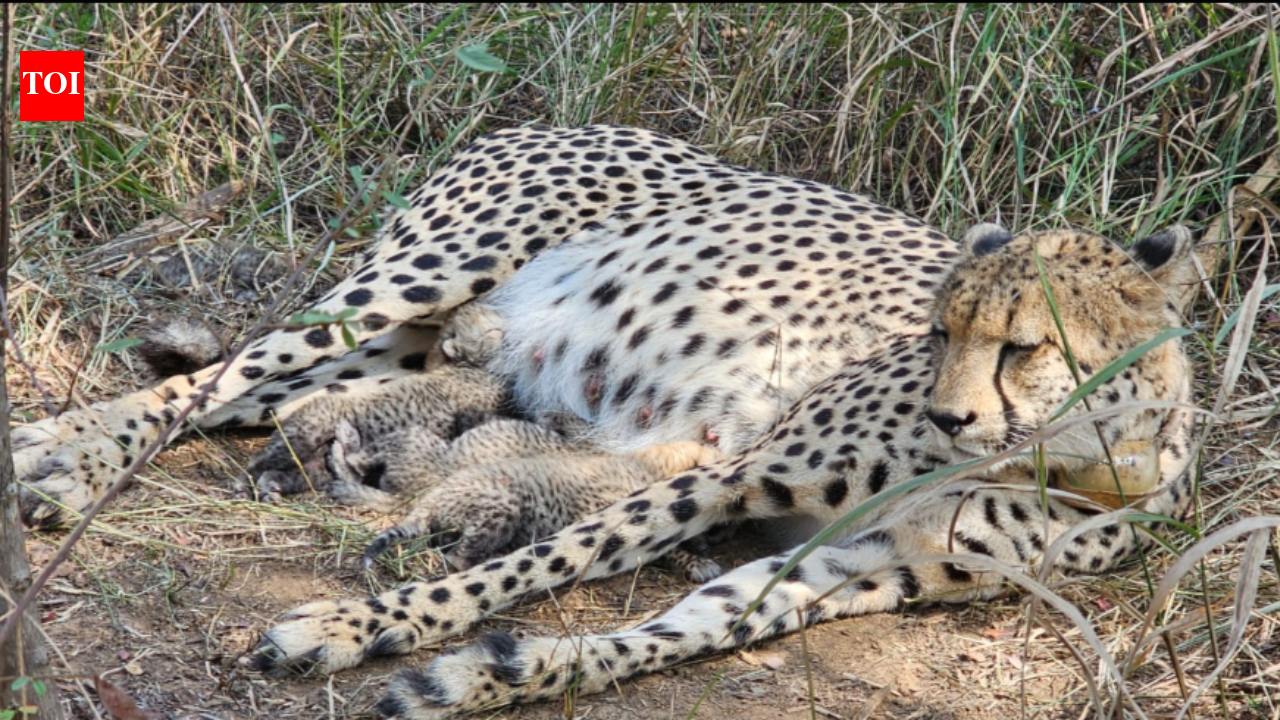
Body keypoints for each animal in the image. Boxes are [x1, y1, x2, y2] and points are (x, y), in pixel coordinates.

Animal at [9, 125, 1199, 719]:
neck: (1073, 459)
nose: (949, 414)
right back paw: (64, 458)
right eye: (939, 330)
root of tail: (544, 117)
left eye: (1023, 346)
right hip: (416, 280)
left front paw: (484, 677)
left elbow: (672, 631)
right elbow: (543, 562)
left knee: (272, 398)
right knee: (217, 377)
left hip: (413, 346)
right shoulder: (733, 473)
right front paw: (357, 626)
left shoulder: (860, 568)